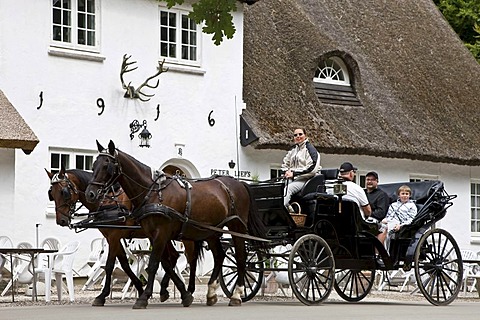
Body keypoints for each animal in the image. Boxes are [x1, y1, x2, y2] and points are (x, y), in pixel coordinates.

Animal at [46, 166, 201, 306]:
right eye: (51, 194)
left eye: (64, 192)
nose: (61, 221)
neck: (106, 201)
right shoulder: (113, 237)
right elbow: (125, 264)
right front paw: (140, 288)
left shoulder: (114, 236)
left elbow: (109, 266)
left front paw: (102, 295)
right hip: (164, 235)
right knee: (173, 257)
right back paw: (166, 290)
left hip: (184, 236)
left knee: (191, 259)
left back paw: (189, 289)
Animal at [86, 140, 266, 308]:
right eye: (93, 165)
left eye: (106, 166)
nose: (90, 194)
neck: (153, 193)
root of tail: (239, 183)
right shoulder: (151, 234)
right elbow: (164, 263)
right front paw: (181, 293)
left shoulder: (158, 233)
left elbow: (153, 264)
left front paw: (144, 297)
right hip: (211, 231)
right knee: (219, 256)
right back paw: (210, 293)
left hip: (237, 227)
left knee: (241, 257)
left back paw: (236, 294)